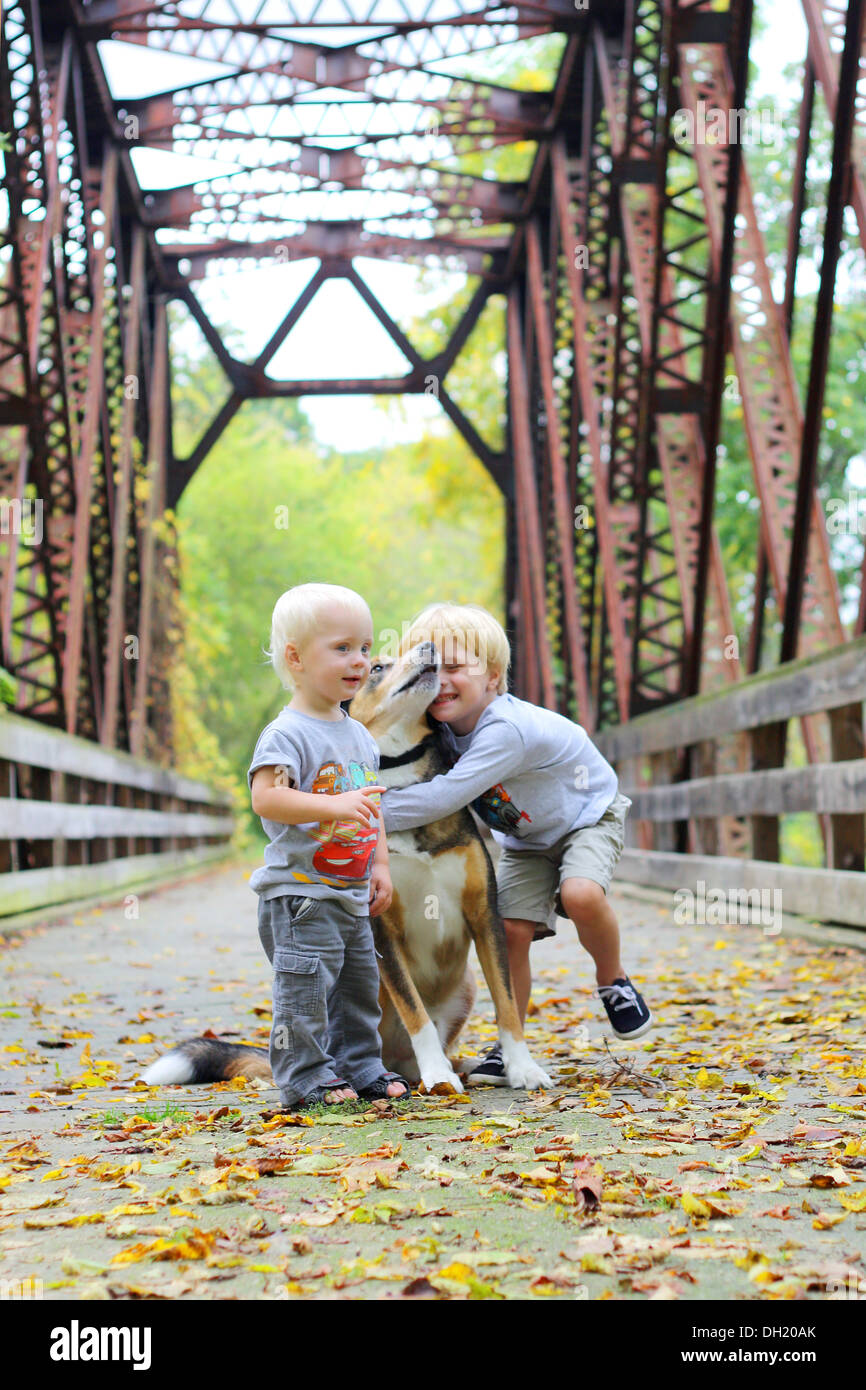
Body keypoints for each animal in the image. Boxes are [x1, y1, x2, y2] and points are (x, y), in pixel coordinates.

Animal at [141, 644, 547, 1089]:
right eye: (377, 667)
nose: (430, 648)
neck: (399, 773)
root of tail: (395, 1062)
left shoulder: (483, 913)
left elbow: (507, 1003)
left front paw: (522, 1067)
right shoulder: (382, 927)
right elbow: (414, 1010)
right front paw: (438, 1074)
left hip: (465, 988)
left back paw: (464, 1068)